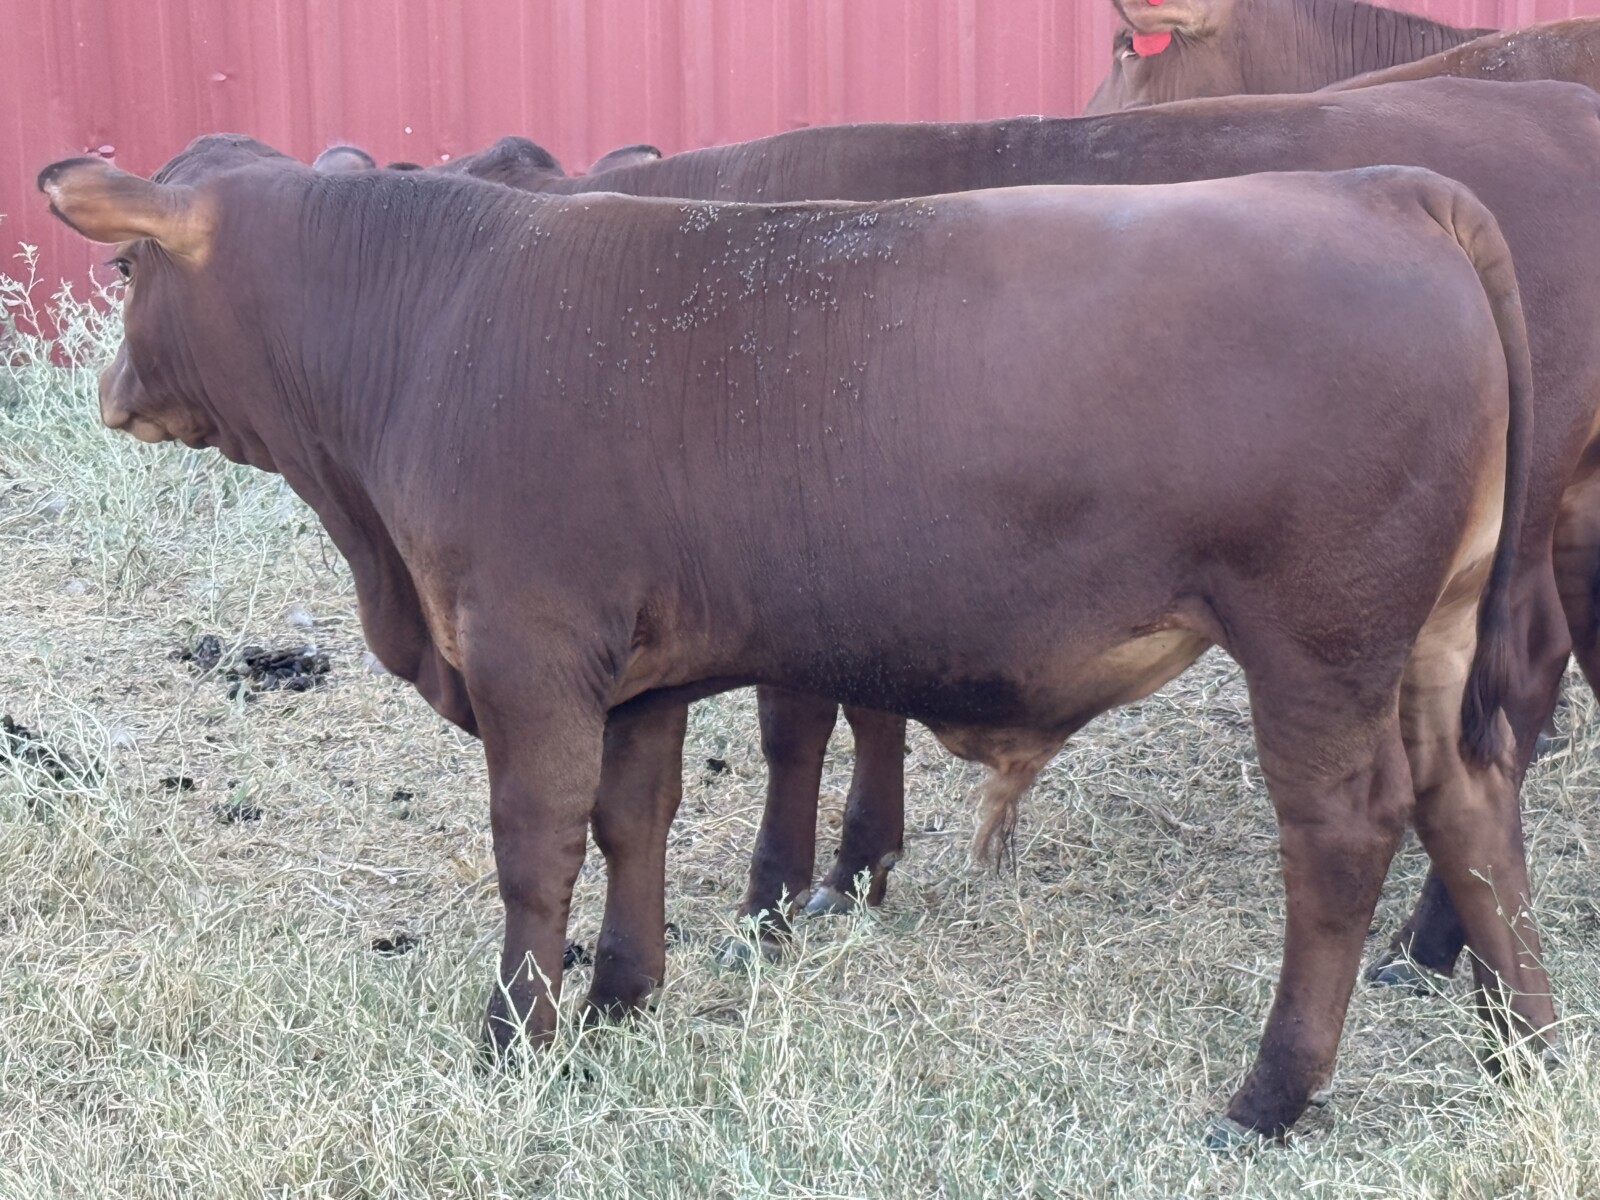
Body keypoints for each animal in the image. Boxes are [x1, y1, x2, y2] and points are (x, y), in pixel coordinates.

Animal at [41, 136, 1549, 1141]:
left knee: (1345, 835)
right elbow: (632, 823)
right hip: (1431, 639)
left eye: (125, 261)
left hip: (1317, 640)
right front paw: (623, 997)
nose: (106, 388)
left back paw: (1273, 1093)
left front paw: (515, 1036)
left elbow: (537, 848)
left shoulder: (529, 648)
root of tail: (1382, 185)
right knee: (1473, 804)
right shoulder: (636, 673)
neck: (433, 322)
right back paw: (1522, 1041)